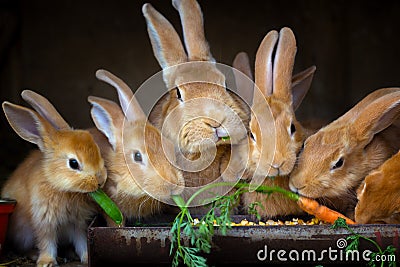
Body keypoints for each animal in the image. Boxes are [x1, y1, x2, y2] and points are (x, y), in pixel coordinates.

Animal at [1, 99, 106, 266]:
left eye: (98, 151)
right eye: (73, 163)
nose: (101, 181)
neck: (63, 189)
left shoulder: (78, 223)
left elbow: (81, 241)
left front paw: (86, 257)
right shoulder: (45, 222)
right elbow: (47, 242)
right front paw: (46, 262)